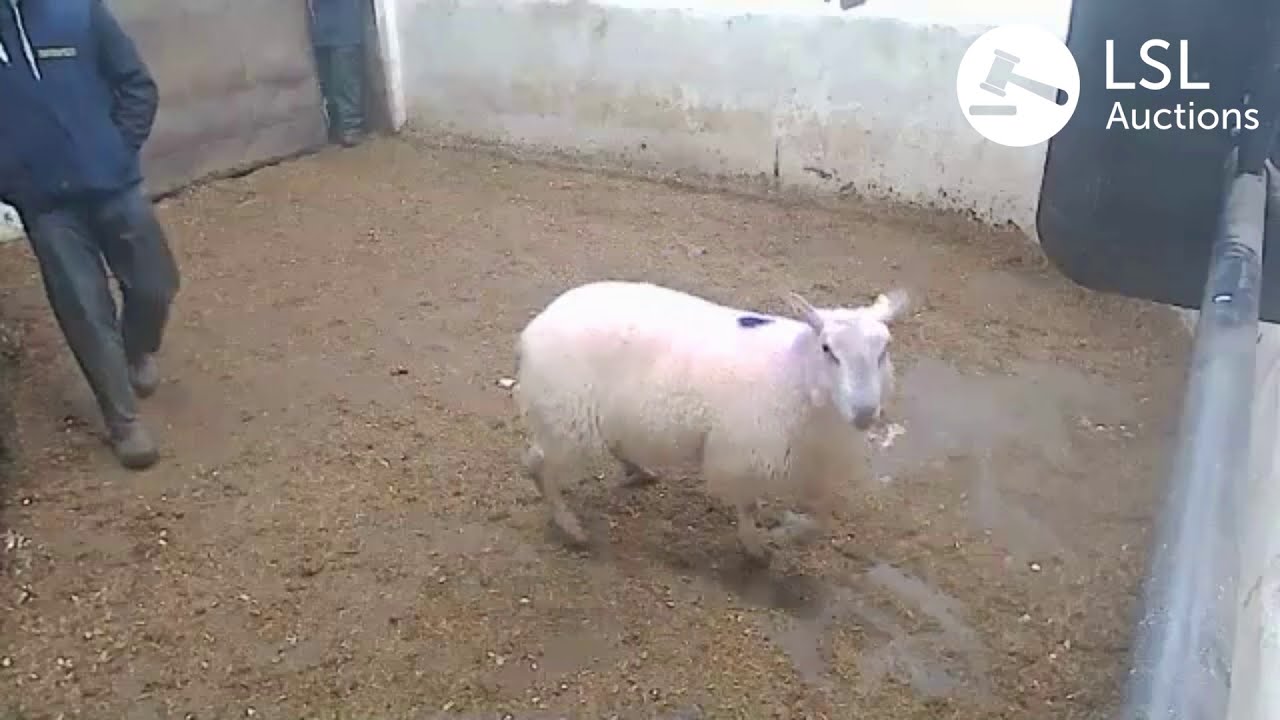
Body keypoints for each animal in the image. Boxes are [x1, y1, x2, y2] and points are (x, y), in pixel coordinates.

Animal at [512, 280, 910, 563]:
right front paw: (758, 545)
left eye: (885, 349)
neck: (794, 372)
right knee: (537, 465)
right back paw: (571, 526)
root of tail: (535, 327)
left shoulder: (810, 464)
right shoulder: (743, 451)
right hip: (566, 415)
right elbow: (749, 507)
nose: (865, 413)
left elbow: (820, 518)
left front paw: (786, 533)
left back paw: (639, 471)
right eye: (828, 349)